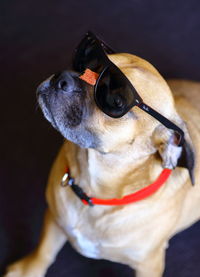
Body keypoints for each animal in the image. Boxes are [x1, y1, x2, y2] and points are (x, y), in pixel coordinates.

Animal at [4, 32, 200, 276]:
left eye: (116, 99)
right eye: (88, 63)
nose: (63, 77)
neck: (93, 187)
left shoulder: (149, 263)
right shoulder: (55, 219)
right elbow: (44, 251)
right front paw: (29, 269)